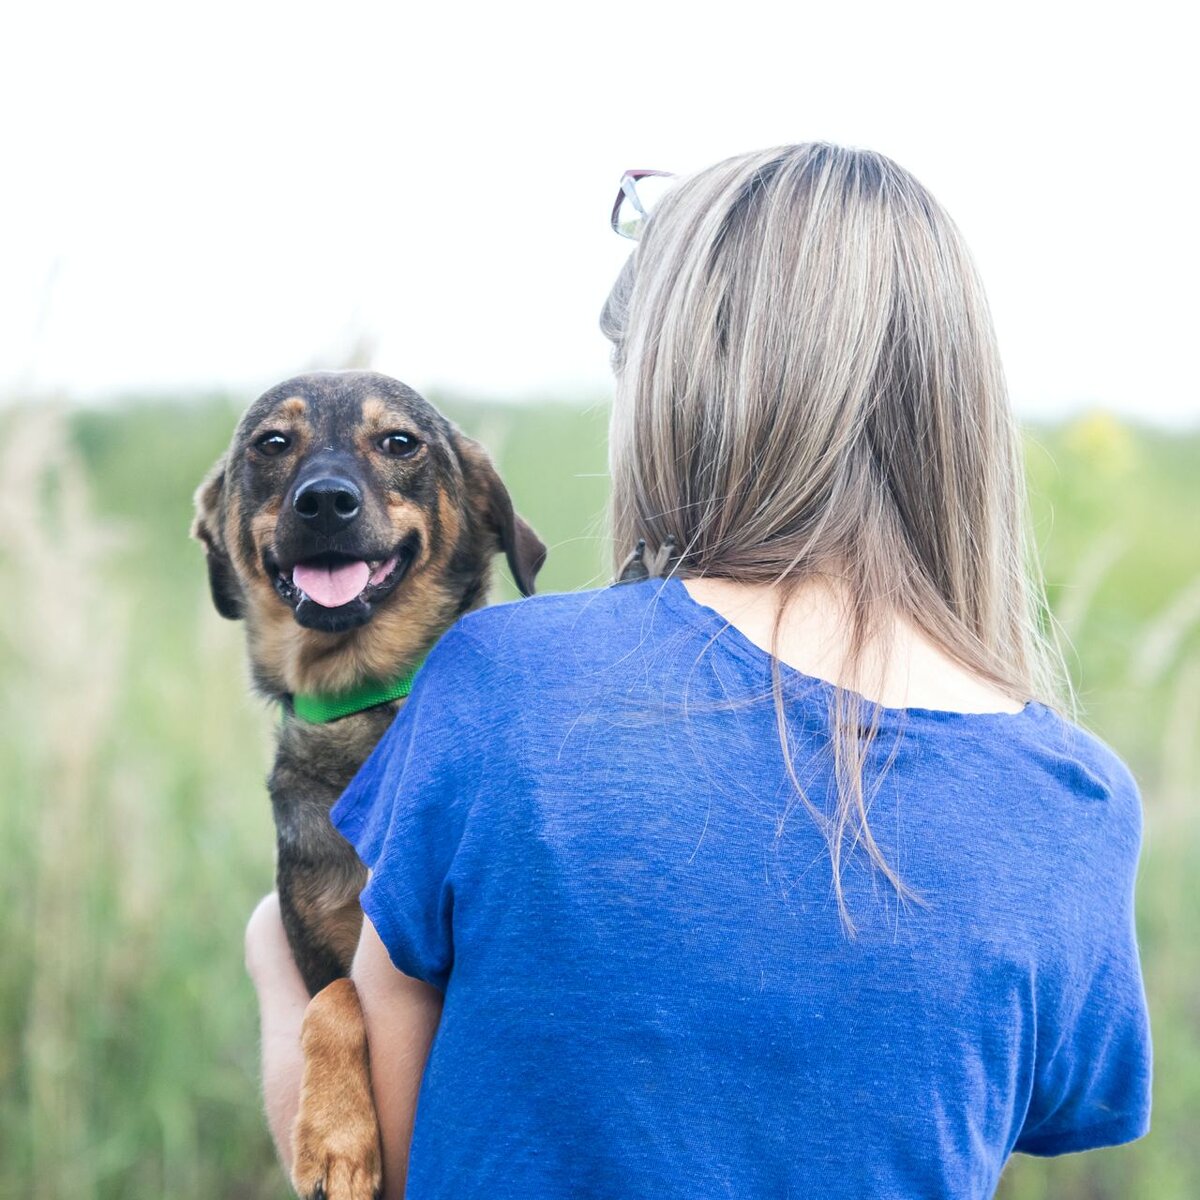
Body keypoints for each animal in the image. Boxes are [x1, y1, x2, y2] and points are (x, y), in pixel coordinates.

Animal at [193, 369, 549, 1200]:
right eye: (273, 443)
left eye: (398, 442)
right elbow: (333, 997)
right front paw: (335, 1135)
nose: (324, 500)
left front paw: (334, 1136)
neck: (363, 702)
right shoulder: (312, 946)